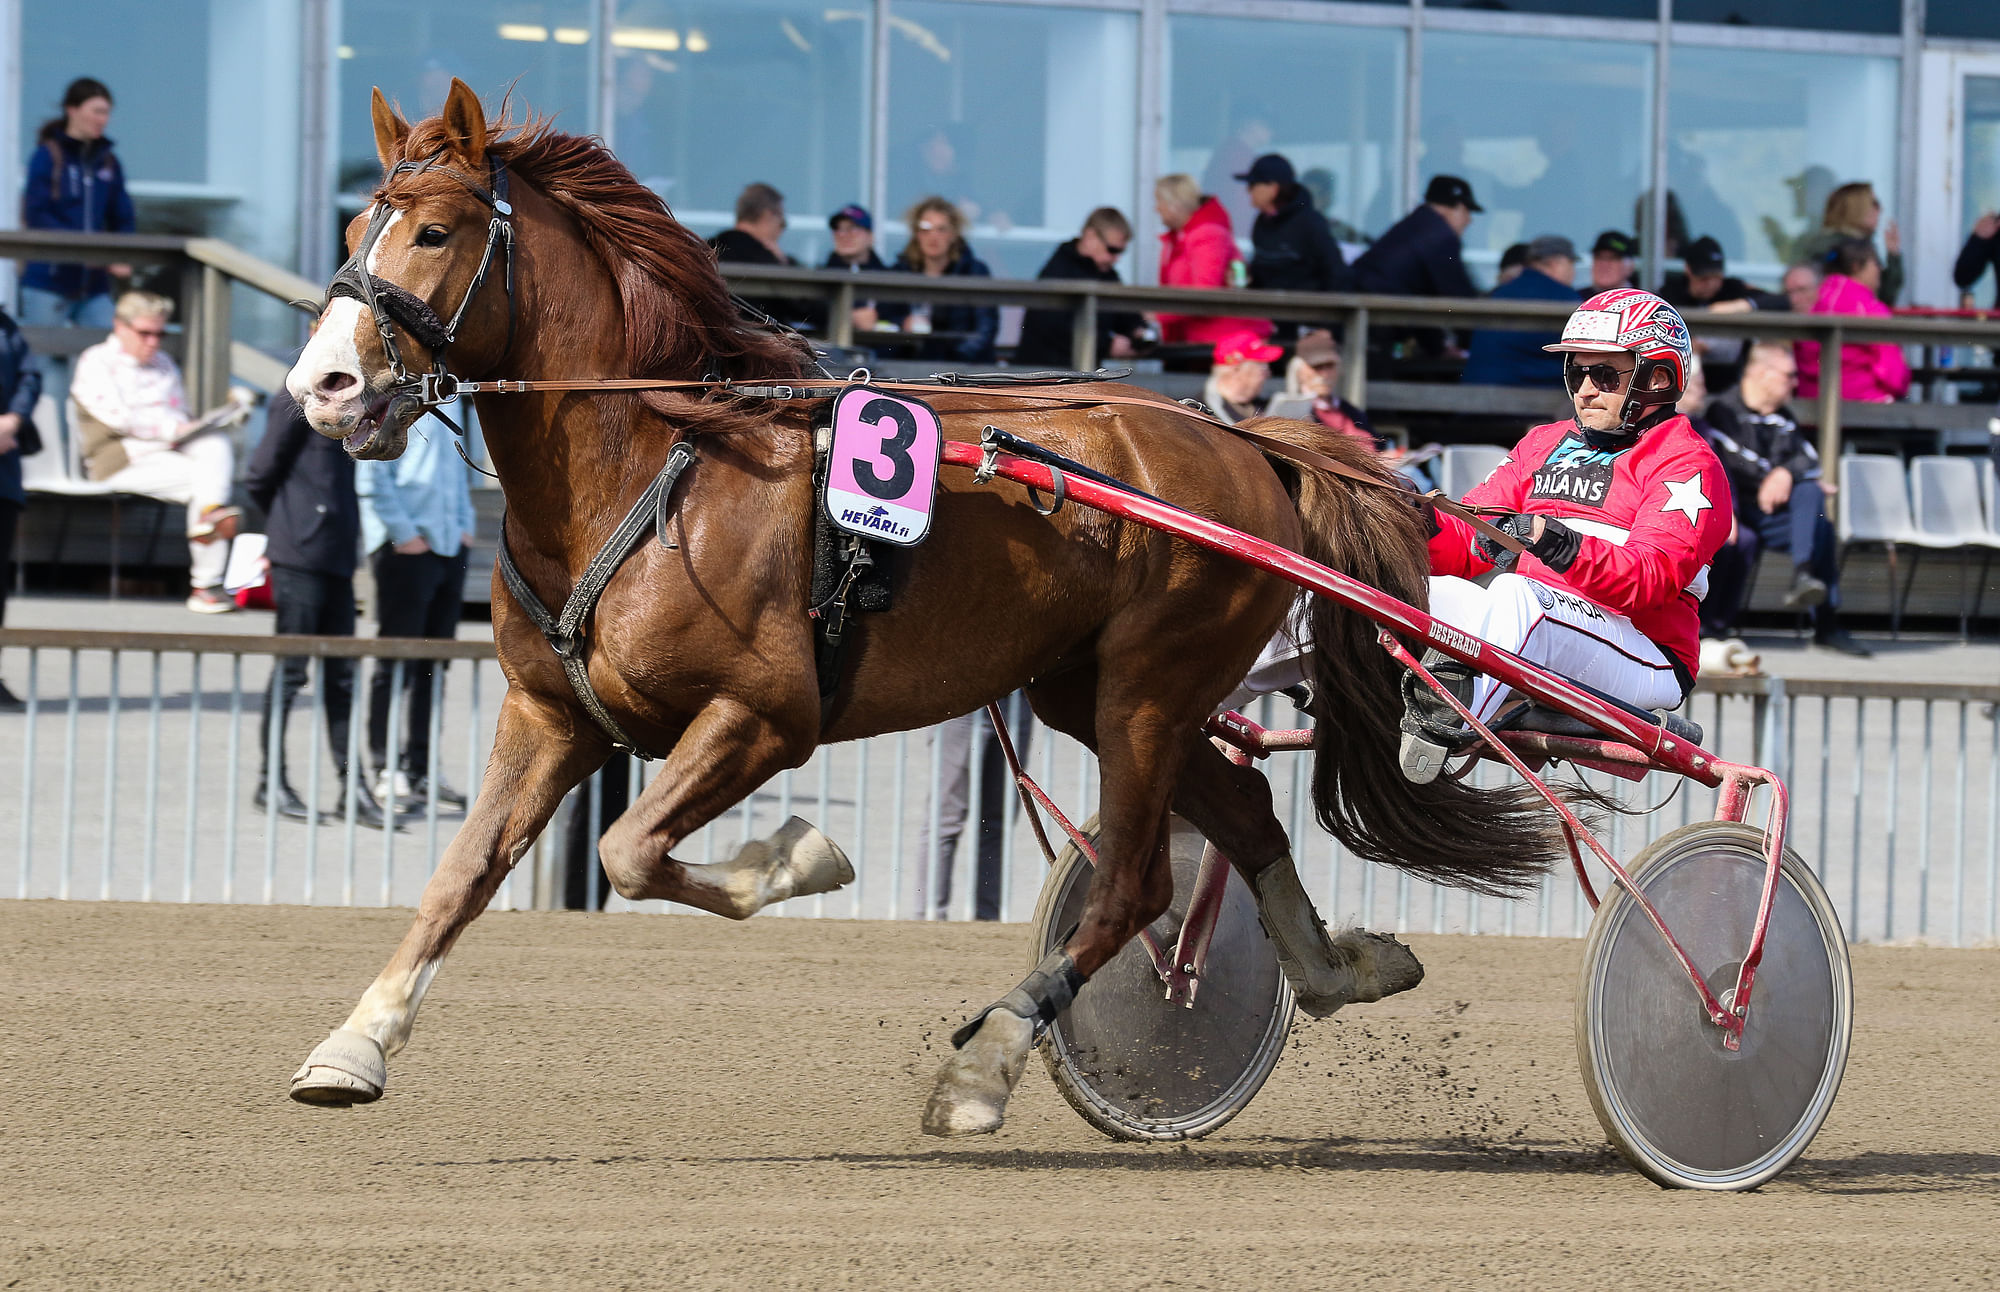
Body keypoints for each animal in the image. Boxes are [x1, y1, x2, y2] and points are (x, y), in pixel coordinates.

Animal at [282, 81, 1560, 1136]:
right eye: (351, 233)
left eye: (433, 230)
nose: (321, 386)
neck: (657, 462)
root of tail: (1244, 439)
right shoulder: (548, 713)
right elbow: (461, 875)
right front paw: (353, 1042)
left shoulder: (765, 714)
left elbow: (632, 849)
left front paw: (794, 856)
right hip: (1089, 688)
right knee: (1242, 815)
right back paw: (1340, 966)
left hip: (1149, 691)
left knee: (1138, 880)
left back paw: (985, 1062)